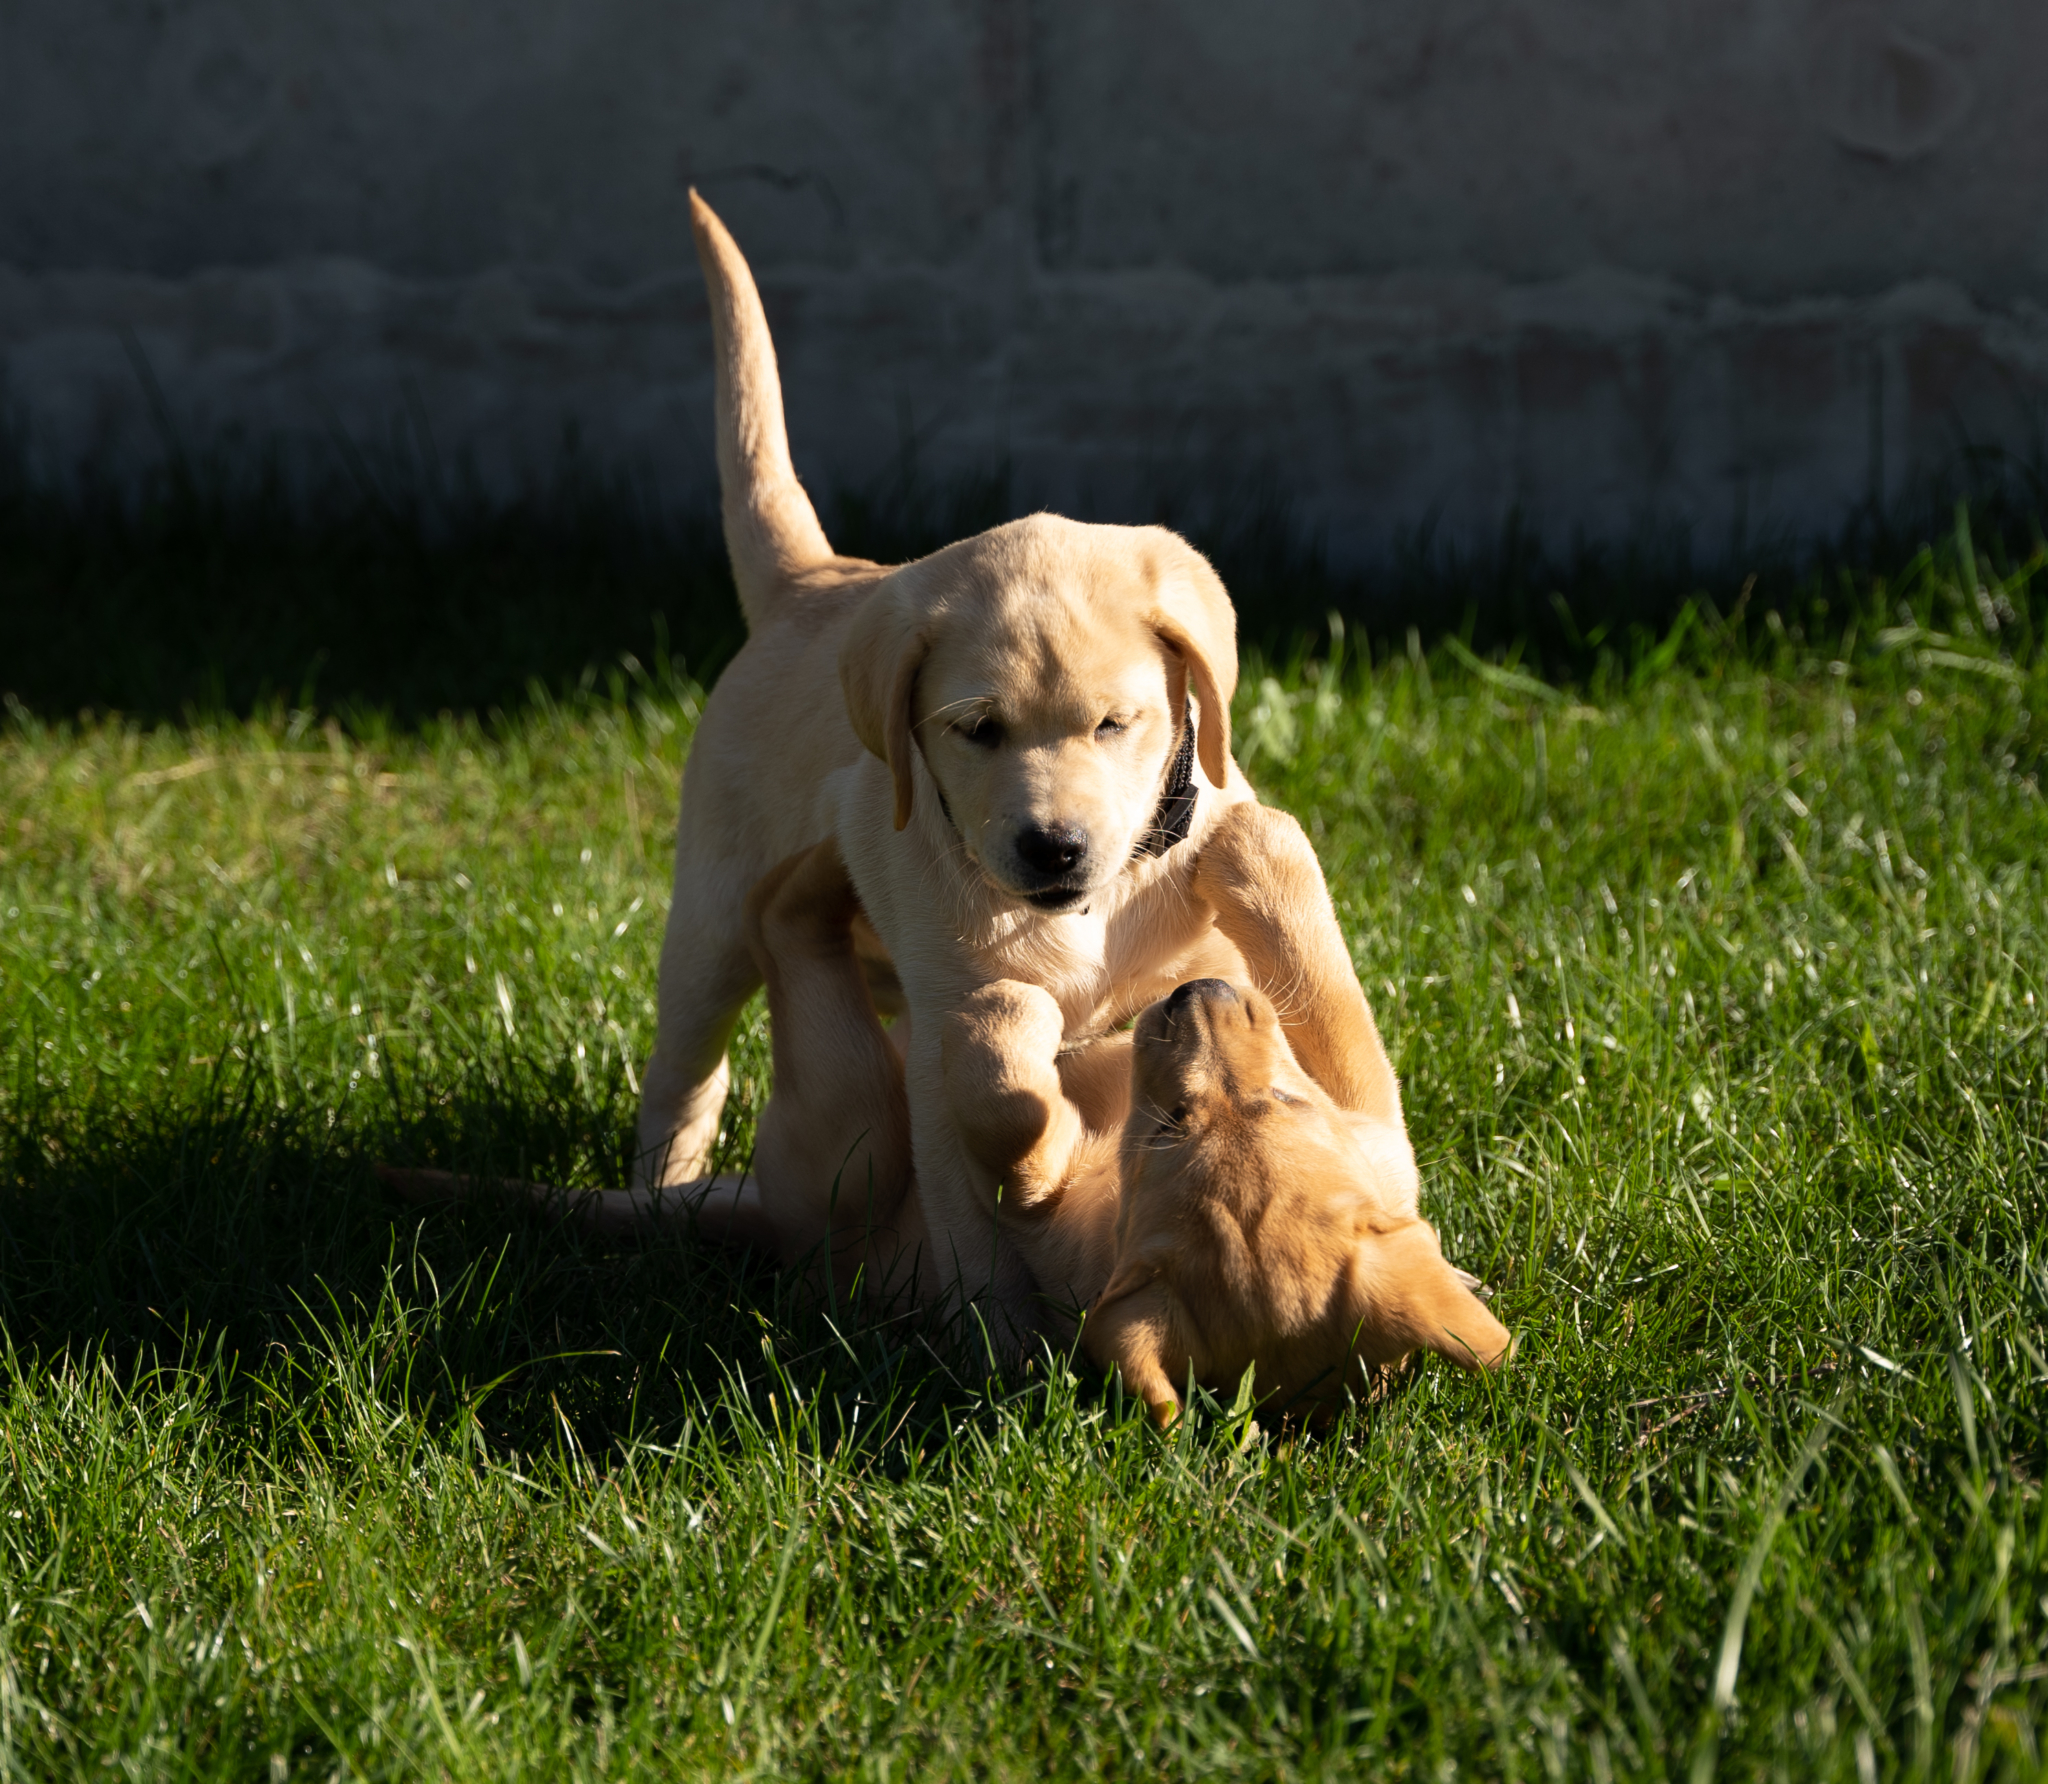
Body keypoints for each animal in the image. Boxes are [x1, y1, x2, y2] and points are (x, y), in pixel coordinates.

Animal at [638, 198, 1253, 1343]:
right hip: (707, 924)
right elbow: (974, 1176)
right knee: (683, 1076)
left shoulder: (1195, 960)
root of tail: (818, 580)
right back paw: (662, 1200)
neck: (1083, 911)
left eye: (1117, 723)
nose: (1053, 847)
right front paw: (990, 1331)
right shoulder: (943, 1038)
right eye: (976, 730)